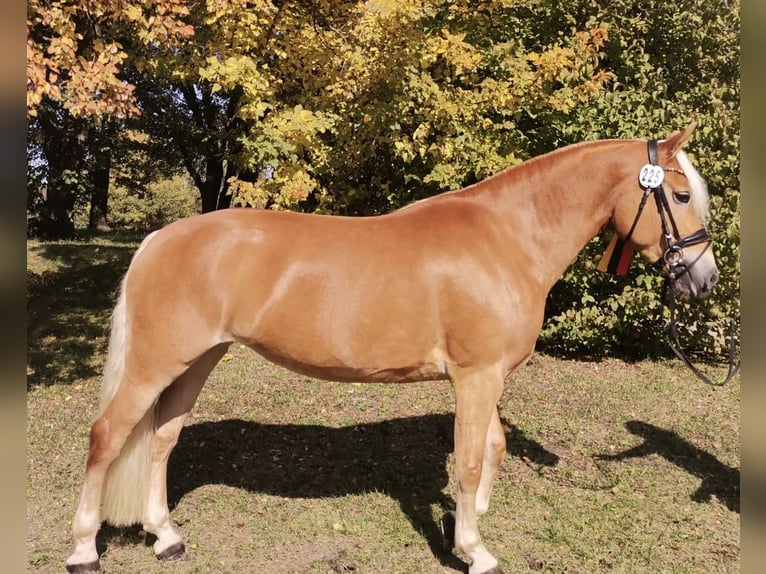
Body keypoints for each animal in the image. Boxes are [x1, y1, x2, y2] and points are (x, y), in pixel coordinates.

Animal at [66, 124, 720, 572]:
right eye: (682, 196)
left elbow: (493, 447)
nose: (704, 279)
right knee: (107, 438)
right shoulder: (476, 376)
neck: (507, 238)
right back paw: (83, 550)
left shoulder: (486, 379)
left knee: (161, 439)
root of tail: (158, 237)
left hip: (196, 360)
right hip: (155, 364)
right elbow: (472, 458)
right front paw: (476, 550)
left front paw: (466, 522)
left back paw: (166, 537)